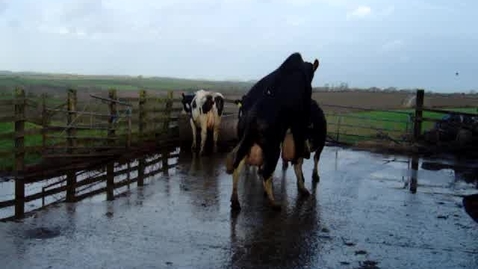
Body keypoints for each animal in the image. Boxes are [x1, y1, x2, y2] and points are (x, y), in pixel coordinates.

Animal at [225, 52, 322, 210]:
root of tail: (252, 121)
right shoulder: (300, 117)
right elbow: (298, 154)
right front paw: (303, 188)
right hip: (273, 146)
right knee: (266, 172)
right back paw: (274, 203)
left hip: (247, 142)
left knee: (238, 165)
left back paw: (236, 202)